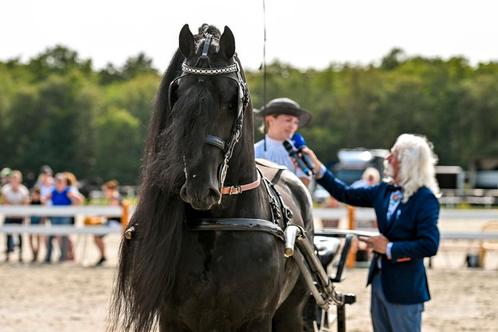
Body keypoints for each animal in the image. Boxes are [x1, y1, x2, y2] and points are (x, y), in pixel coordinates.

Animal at [112, 24, 316, 332]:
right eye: (177, 94)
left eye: (232, 100)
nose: (199, 187)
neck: (218, 223)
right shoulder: (173, 319)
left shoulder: (257, 318)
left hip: (291, 311)